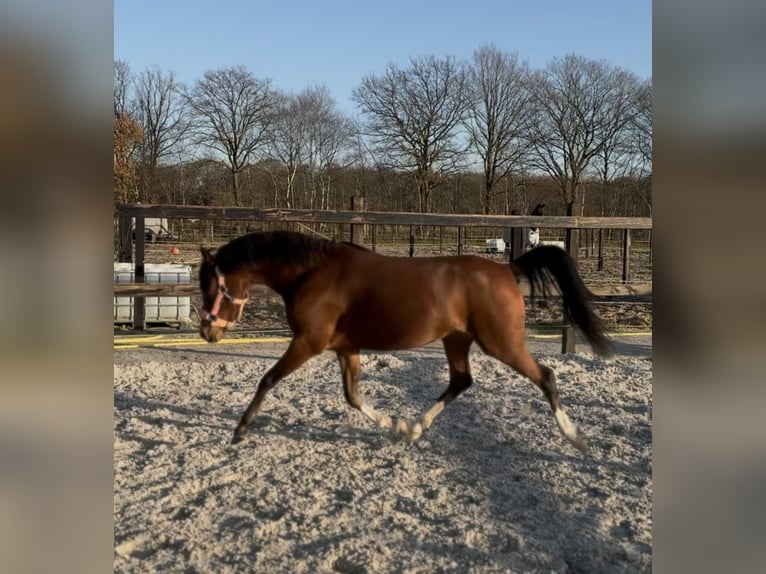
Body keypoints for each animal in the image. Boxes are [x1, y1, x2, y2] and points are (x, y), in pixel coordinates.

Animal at [201, 232, 616, 452]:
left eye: (211, 286)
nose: (208, 331)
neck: (311, 274)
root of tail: (506, 268)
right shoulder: (346, 347)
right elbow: (352, 396)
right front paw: (394, 425)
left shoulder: (309, 342)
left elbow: (268, 379)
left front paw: (240, 430)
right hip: (456, 340)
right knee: (461, 381)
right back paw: (415, 428)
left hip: (502, 343)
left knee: (545, 376)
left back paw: (575, 437)